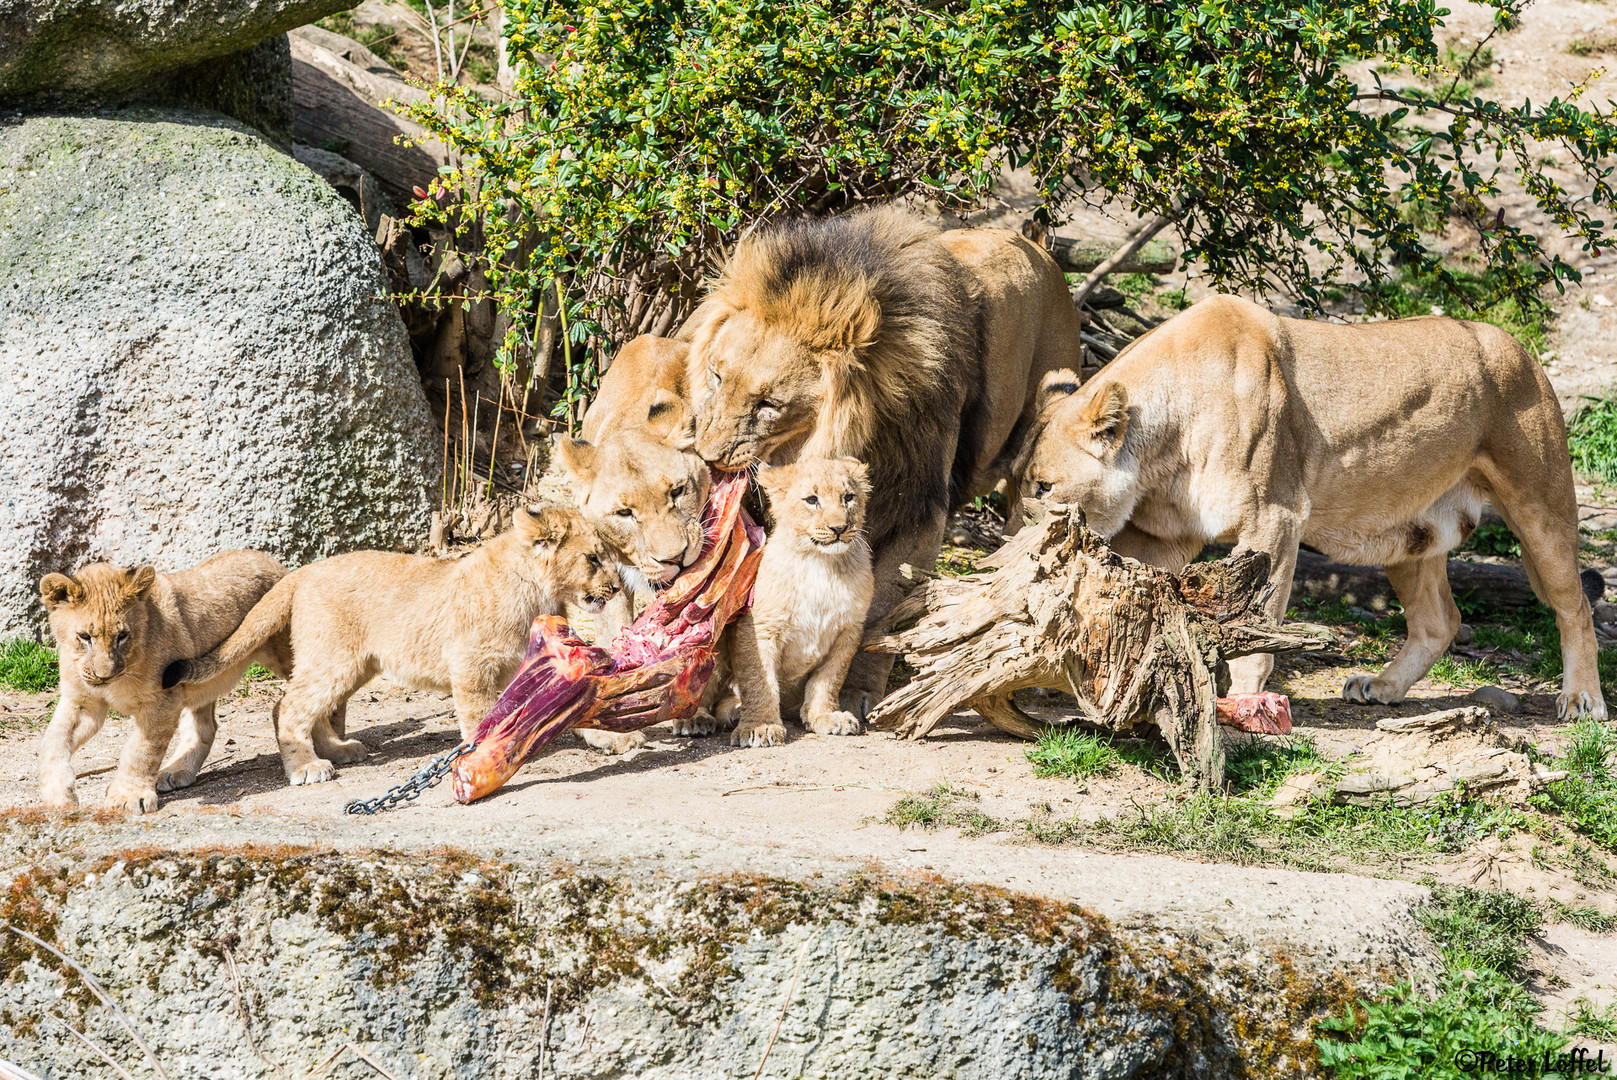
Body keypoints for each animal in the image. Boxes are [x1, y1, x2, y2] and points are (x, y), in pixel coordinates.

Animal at [675, 204, 1080, 708]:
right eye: (715, 376)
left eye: (768, 404)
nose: (708, 455)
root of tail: (1041, 251)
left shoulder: (919, 509)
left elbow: (880, 611)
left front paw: (854, 691)